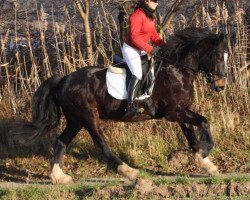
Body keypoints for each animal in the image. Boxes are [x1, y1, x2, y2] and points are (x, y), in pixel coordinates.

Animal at [12, 27, 229, 184]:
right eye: (219, 57)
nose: (221, 85)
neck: (177, 70)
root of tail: (64, 79)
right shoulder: (173, 112)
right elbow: (204, 122)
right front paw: (205, 152)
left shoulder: (180, 111)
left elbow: (192, 136)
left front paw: (206, 163)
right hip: (88, 117)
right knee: (101, 145)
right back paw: (129, 171)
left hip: (75, 119)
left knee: (61, 142)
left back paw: (59, 177)